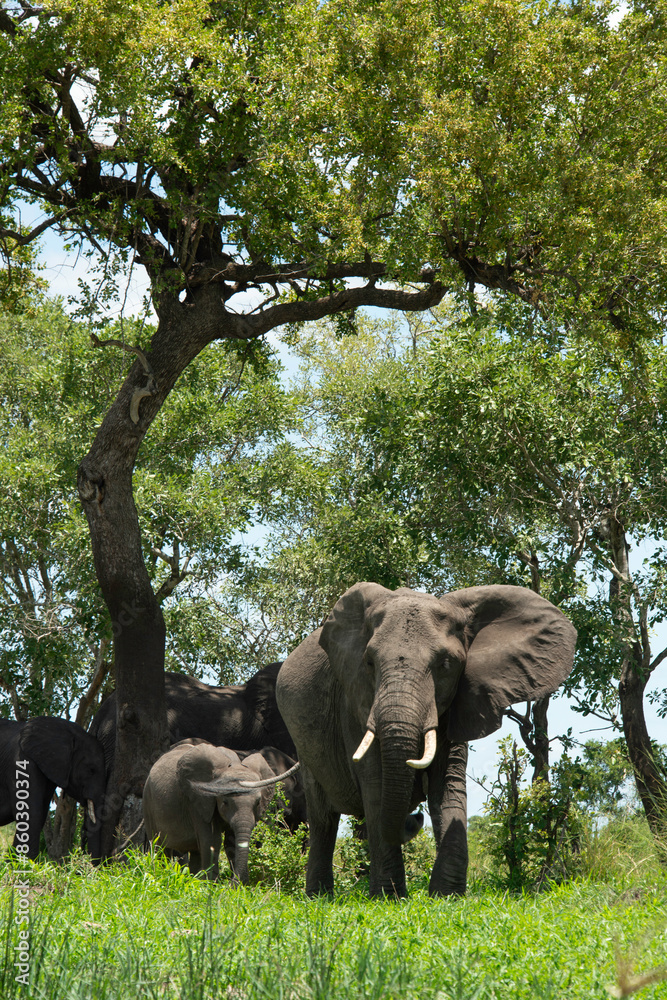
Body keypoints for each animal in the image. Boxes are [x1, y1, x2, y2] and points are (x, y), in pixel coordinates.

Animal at [143, 741, 304, 883]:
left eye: (258, 802)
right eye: (225, 802)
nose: (234, 883)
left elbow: (230, 841)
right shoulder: (198, 799)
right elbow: (212, 840)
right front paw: (212, 885)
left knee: (195, 850)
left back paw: (194, 879)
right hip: (148, 801)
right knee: (159, 846)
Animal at [276, 582, 577, 899]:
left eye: (445, 664)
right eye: (369, 663)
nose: (415, 818)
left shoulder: (460, 702)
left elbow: (447, 785)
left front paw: (446, 896)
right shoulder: (355, 702)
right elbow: (376, 784)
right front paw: (389, 899)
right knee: (323, 818)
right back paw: (319, 897)